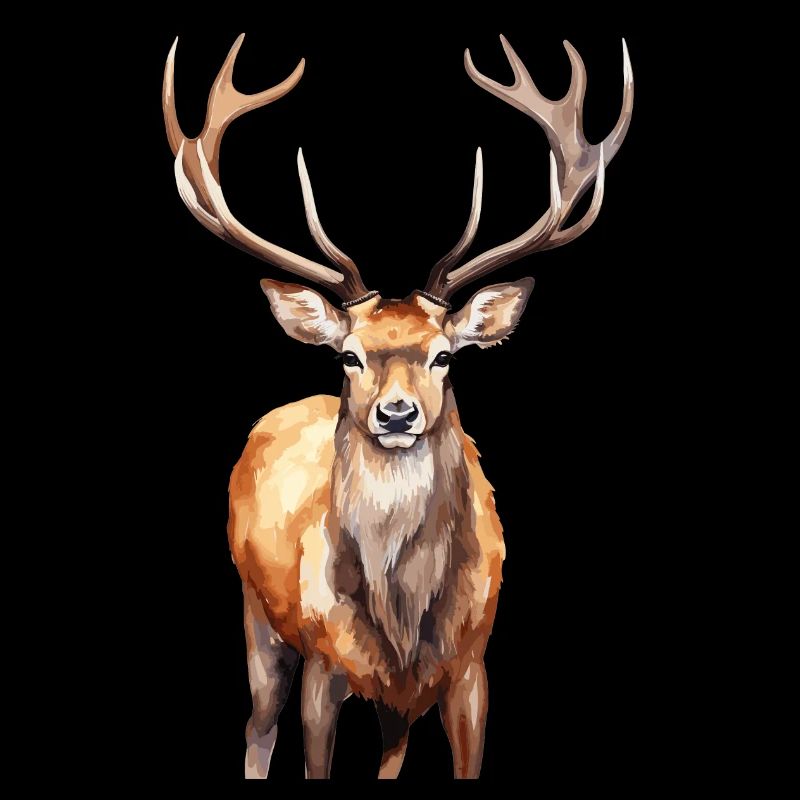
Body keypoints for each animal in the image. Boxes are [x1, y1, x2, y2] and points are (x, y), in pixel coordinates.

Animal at [163, 32, 632, 779]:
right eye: (349, 356)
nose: (397, 414)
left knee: (391, 748)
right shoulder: (323, 664)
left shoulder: (472, 666)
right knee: (257, 727)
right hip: (256, 614)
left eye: (445, 356)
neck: (404, 621)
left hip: (393, 700)